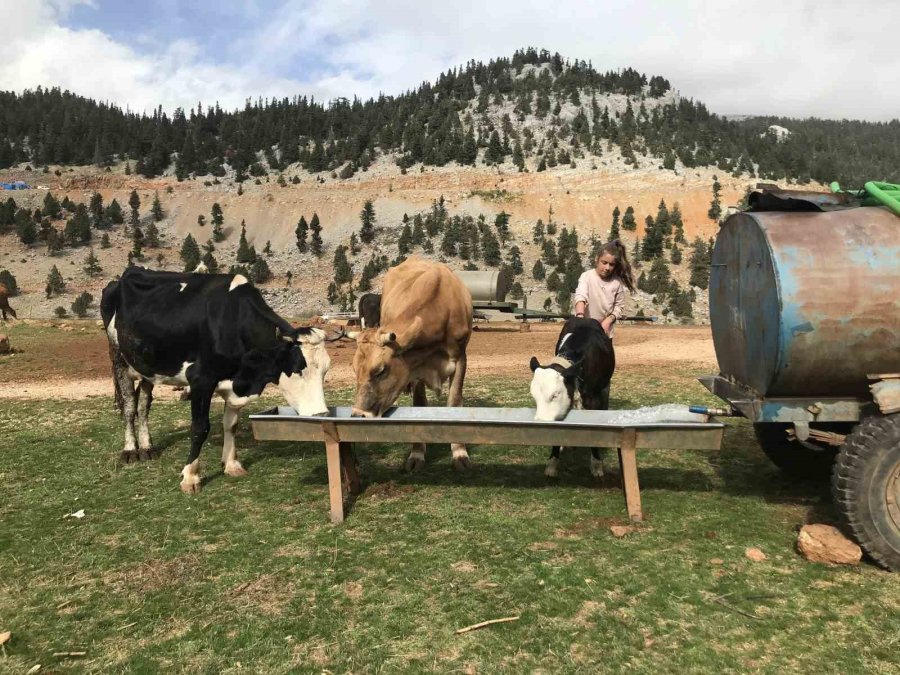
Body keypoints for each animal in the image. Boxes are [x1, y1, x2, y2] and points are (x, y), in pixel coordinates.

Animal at [101, 266, 334, 494]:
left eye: (325, 370)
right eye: (297, 368)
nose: (322, 414)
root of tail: (125, 275)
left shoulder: (234, 384)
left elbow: (231, 425)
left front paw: (231, 464)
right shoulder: (201, 380)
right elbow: (199, 428)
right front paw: (190, 476)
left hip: (147, 366)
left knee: (143, 406)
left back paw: (147, 447)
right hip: (119, 358)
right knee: (130, 406)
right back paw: (131, 450)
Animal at [350, 256, 474, 472]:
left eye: (380, 370)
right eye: (355, 370)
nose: (358, 415)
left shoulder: (460, 359)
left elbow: (455, 401)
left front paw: (459, 453)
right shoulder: (415, 368)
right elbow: (419, 405)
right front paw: (417, 454)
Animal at [532, 320, 616, 478]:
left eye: (555, 394)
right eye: (534, 395)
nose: (540, 422)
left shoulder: (594, 398)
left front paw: (597, 465)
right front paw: (552, 464)